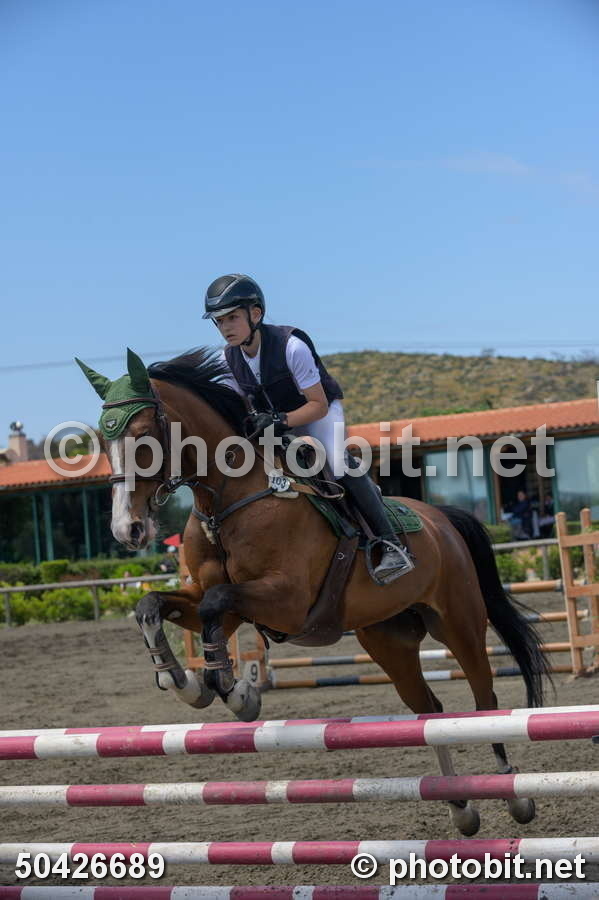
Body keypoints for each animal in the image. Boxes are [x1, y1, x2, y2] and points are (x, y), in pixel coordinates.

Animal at [77, 347, 551, 837]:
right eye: (102, 441)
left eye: (143, 435)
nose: (127, 530)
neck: (229, 499)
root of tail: (443, 519)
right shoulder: (225, 602)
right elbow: (154, 605)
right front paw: (185, 682)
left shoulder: (287, 600)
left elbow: (215, 604)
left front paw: (235, 691)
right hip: (389, 639)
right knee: (430, 709)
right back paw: (460, 805)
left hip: (458, 623)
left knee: (484, 702)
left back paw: (514, 796)